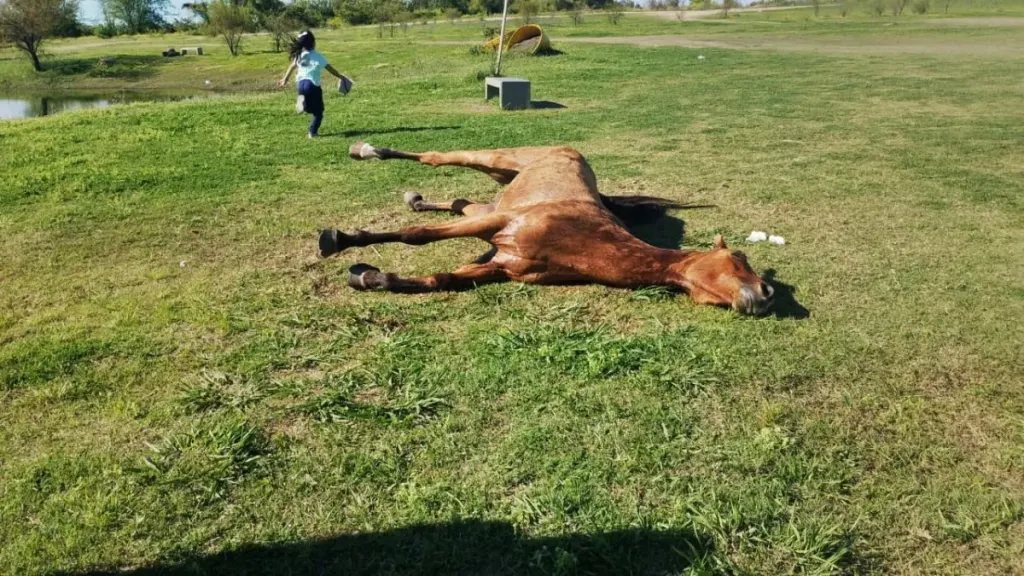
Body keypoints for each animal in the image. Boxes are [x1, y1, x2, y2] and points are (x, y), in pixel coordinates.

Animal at [318, 142, 775, 315]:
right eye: (739, 258)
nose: (766, 295)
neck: (578, 238)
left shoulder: (501, 263)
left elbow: (439, 279)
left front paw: (368, 276)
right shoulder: (499, 224)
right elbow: (418, 236)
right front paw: (338, 240)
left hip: (493, 195)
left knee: (460, 203)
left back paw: (414, 197)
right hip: (495, 162)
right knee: (439, 158)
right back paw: (366, 150)